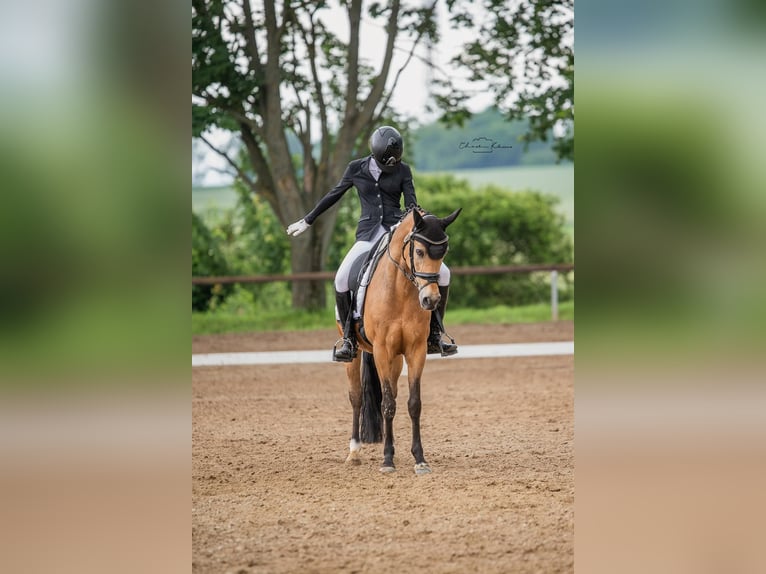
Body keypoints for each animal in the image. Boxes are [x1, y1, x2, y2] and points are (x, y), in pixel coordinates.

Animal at [344, 208, 464, 476]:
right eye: (418, 252)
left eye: (444, 252)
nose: (430, 300)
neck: (400, 290)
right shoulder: (382, 350)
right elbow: (387, 404)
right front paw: (387, 461)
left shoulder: (415, 351)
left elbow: (413, 403)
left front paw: (419, 459)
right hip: (356, 355)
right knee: (357, 397)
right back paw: (354, 452)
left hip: (397, 359)